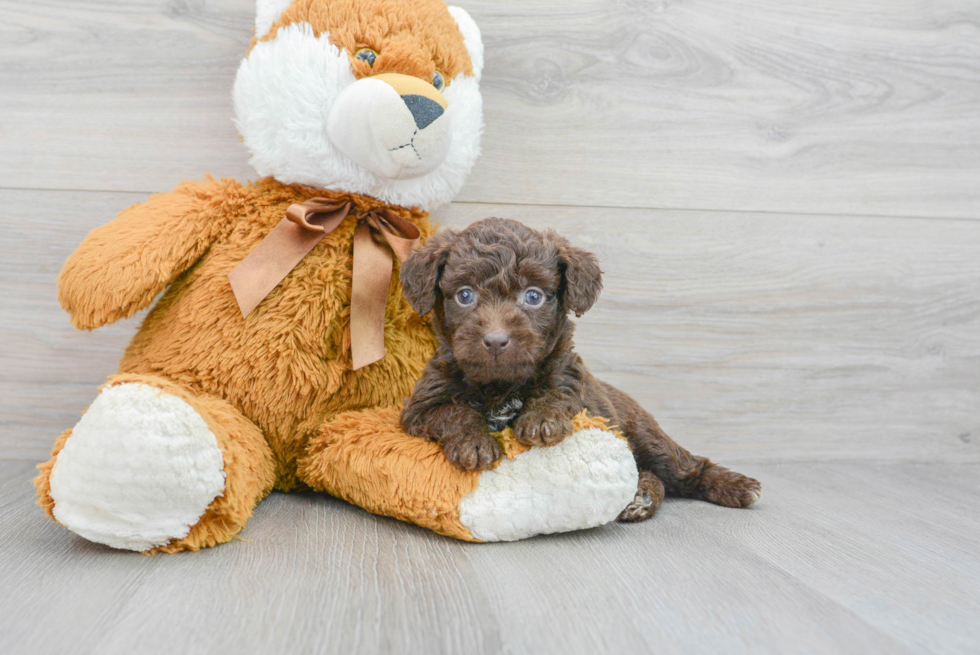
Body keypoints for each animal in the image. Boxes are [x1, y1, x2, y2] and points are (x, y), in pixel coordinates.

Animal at [396, 219, 756, 524]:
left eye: (533, 296)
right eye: (465, 295)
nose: (496, 341)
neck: (501, 384)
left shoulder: (571, 383)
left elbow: (555, 395)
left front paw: (541, 421)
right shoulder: (421, 408)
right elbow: (455, 412)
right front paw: (474, 443)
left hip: (647, 436)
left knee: (685, 468)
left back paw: (735, 486)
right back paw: (640, 497)